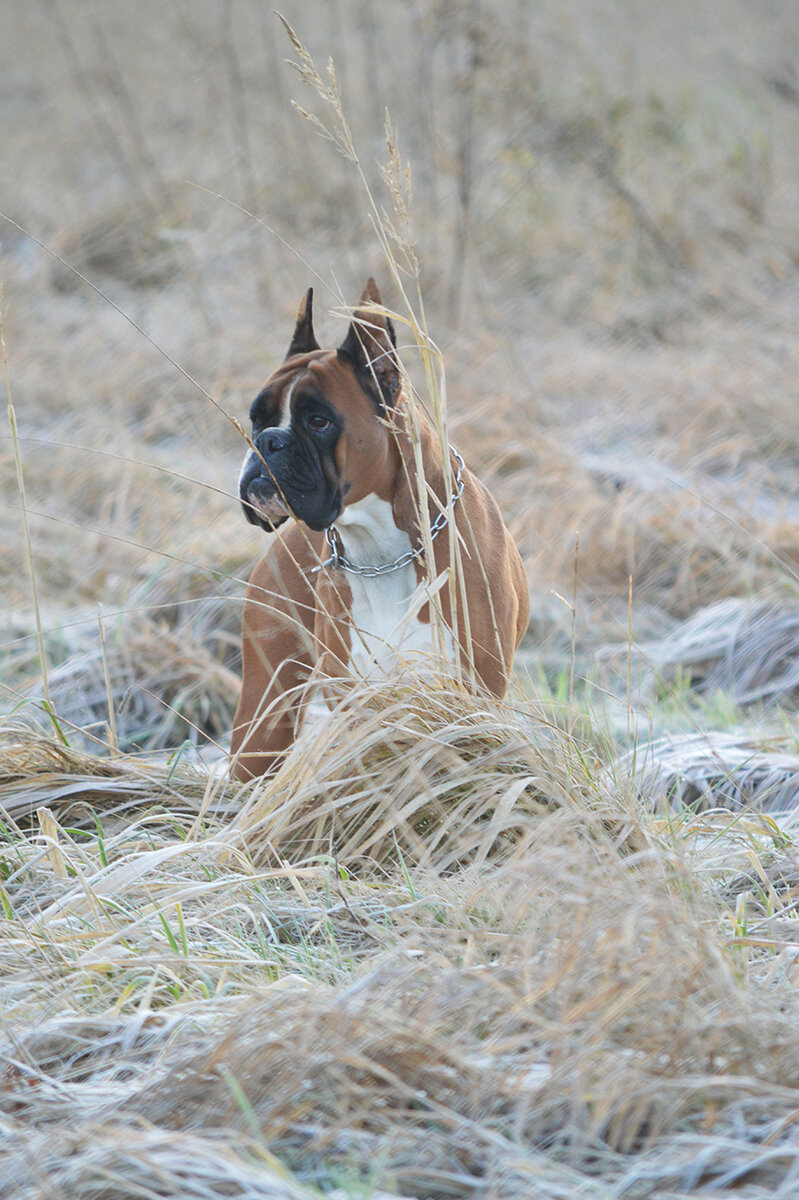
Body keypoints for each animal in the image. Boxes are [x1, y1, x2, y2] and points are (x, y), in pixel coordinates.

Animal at [229, 284, 527, 782]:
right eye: (256, 418)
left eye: (318, 421)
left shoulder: (475, 696)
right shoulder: (358, 704)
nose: (267, 441)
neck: (383, 549)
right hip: (264, 712)